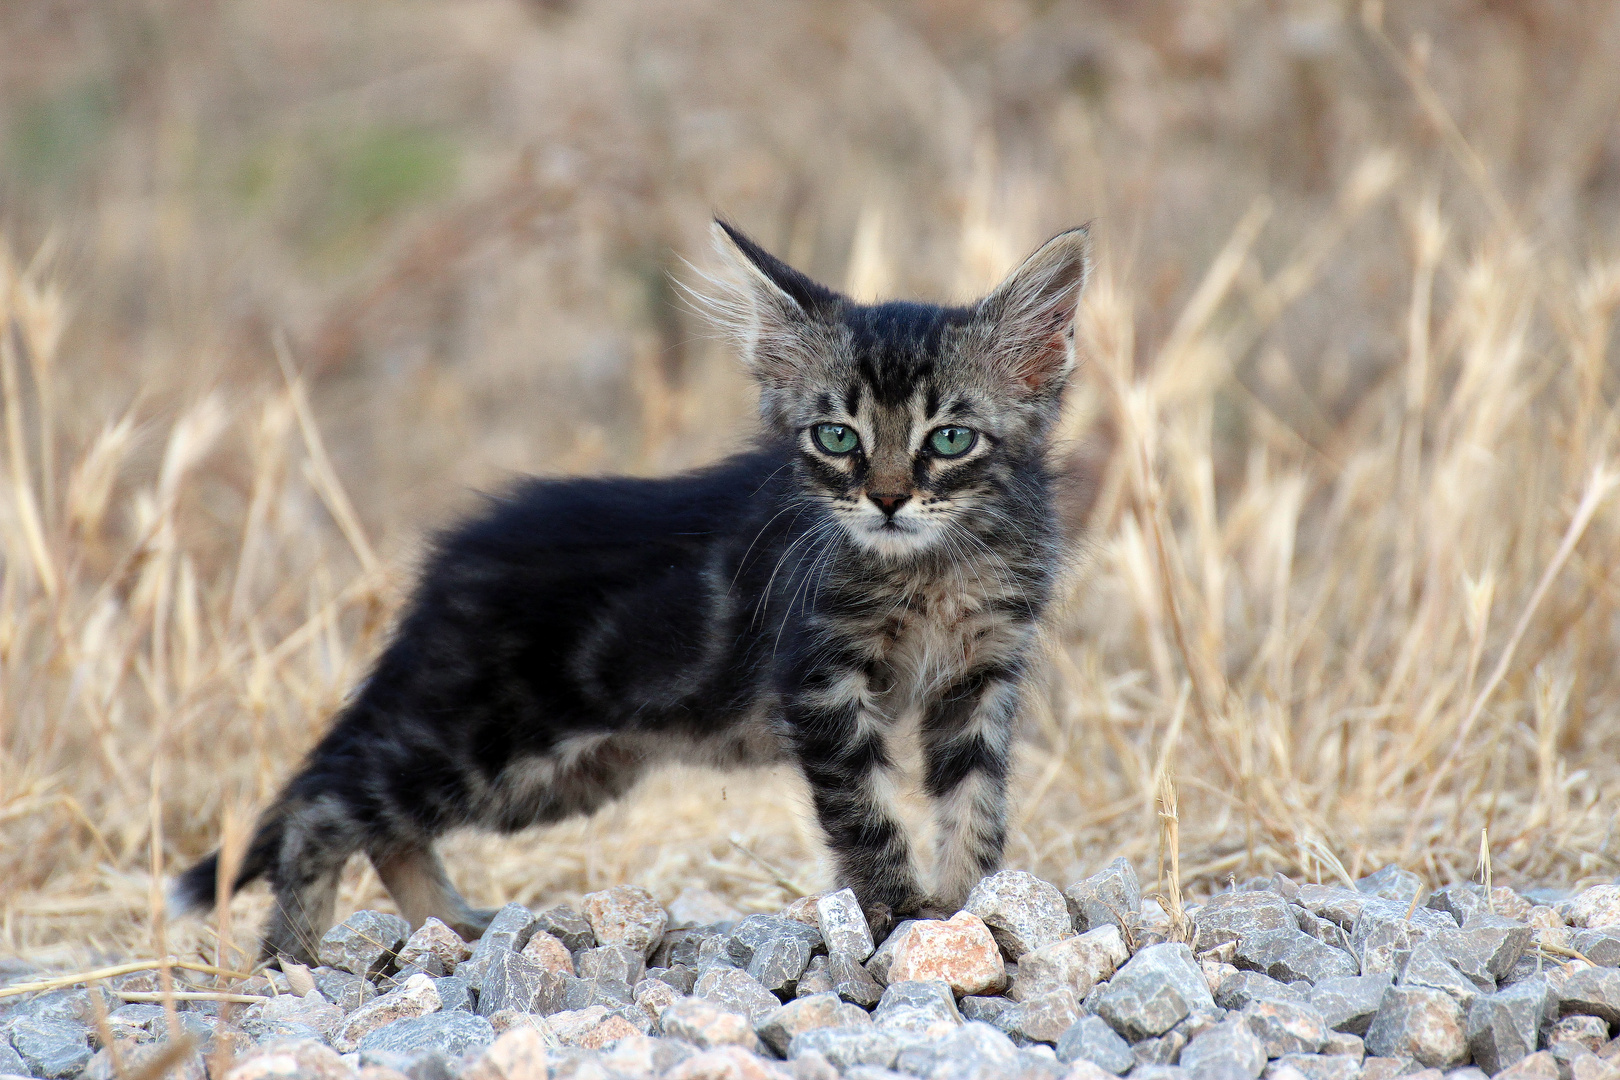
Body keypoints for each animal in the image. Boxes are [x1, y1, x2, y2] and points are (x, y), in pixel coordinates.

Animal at [174, 220, 1088, 965]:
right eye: (836, 437)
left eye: (951, 439)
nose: (889, 499)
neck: (934, 567)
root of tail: (445, 572)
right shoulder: (821, 680)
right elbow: (865, 813)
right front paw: (900, 914)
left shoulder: (980, 676)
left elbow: (973, 804)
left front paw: (972, 910)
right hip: (477, 738)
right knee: (323, 804)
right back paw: (291, 954)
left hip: (555, 776)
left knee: (383, 826)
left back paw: (451, 925)